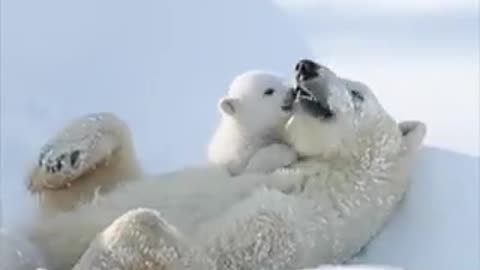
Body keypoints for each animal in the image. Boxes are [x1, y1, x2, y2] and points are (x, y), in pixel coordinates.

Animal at [24, 59, 426, 270]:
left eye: (357, 93)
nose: (305, 66)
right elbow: (101, 180)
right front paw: (58, 159)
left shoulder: (279, 235)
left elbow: (154, 233)